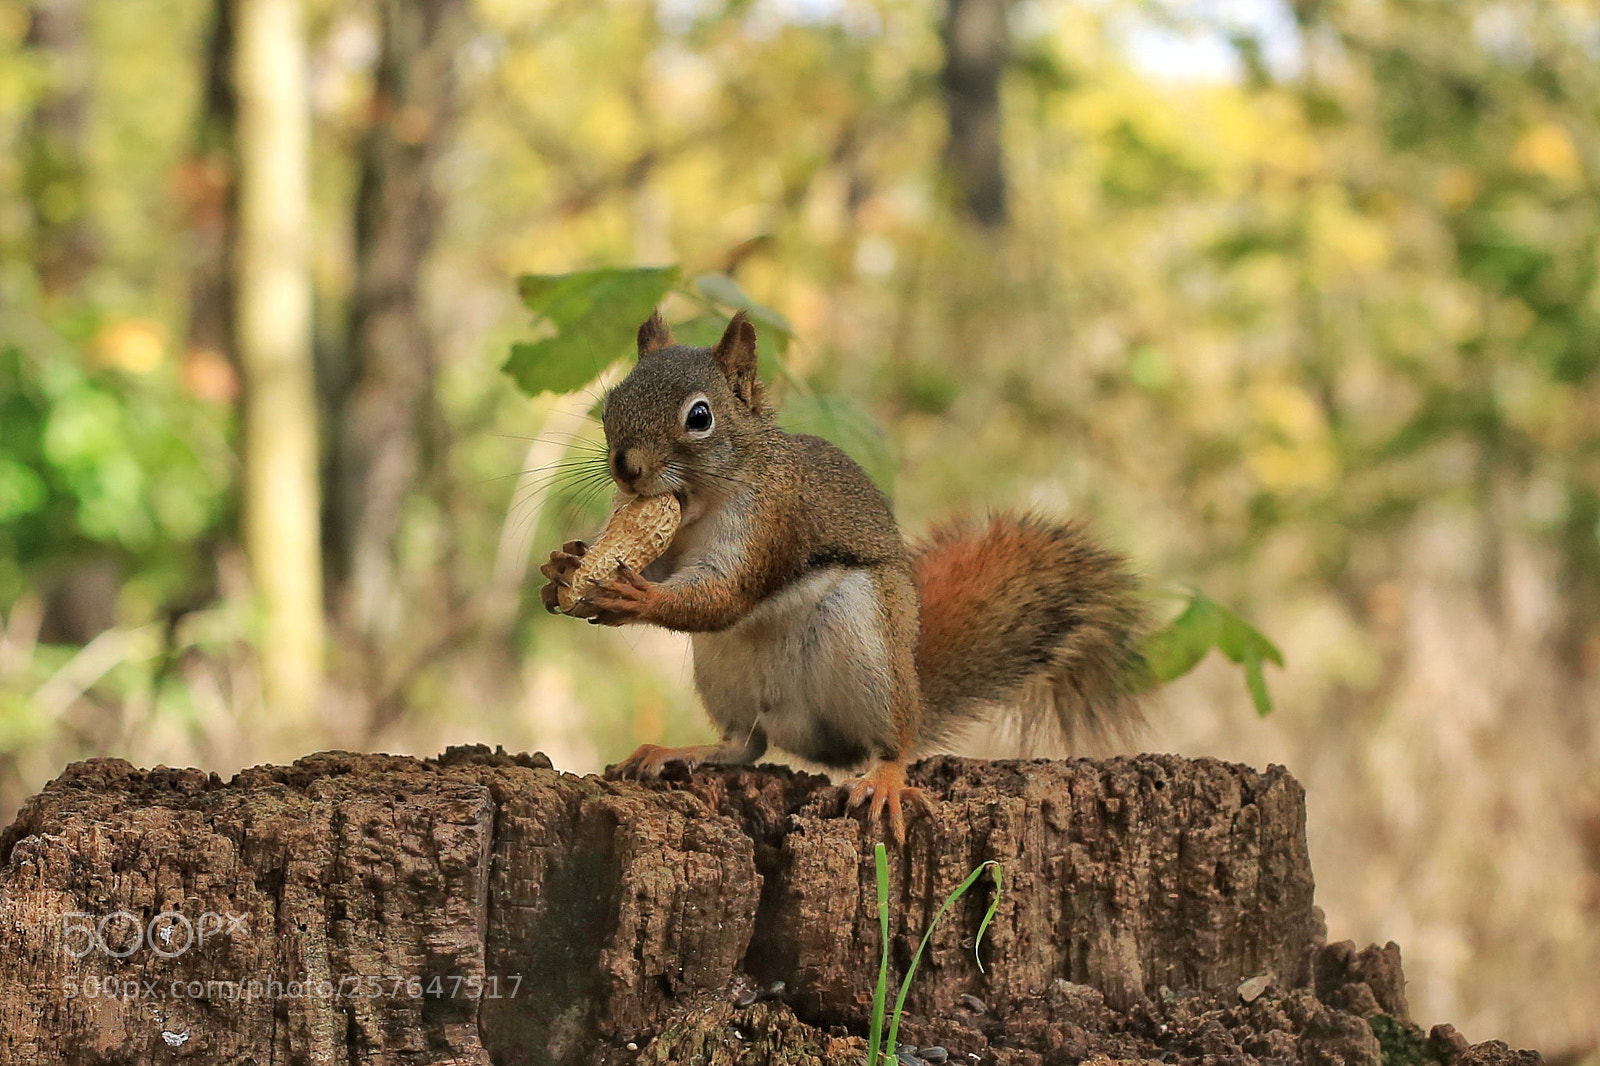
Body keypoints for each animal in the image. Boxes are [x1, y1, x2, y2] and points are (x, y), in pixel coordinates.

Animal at [539, 310, 1148, 841]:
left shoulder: (773, 525)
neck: (702, 507)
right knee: (743, 745)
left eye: (700, 417)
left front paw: (631, 596)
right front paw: (564, 567)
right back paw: (676, 752)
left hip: (869, 647)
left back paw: (886, 780)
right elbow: (660, 564)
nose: (626, 468)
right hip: (724, 673)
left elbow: (725, 597)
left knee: (891, 743)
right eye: (610, 404)